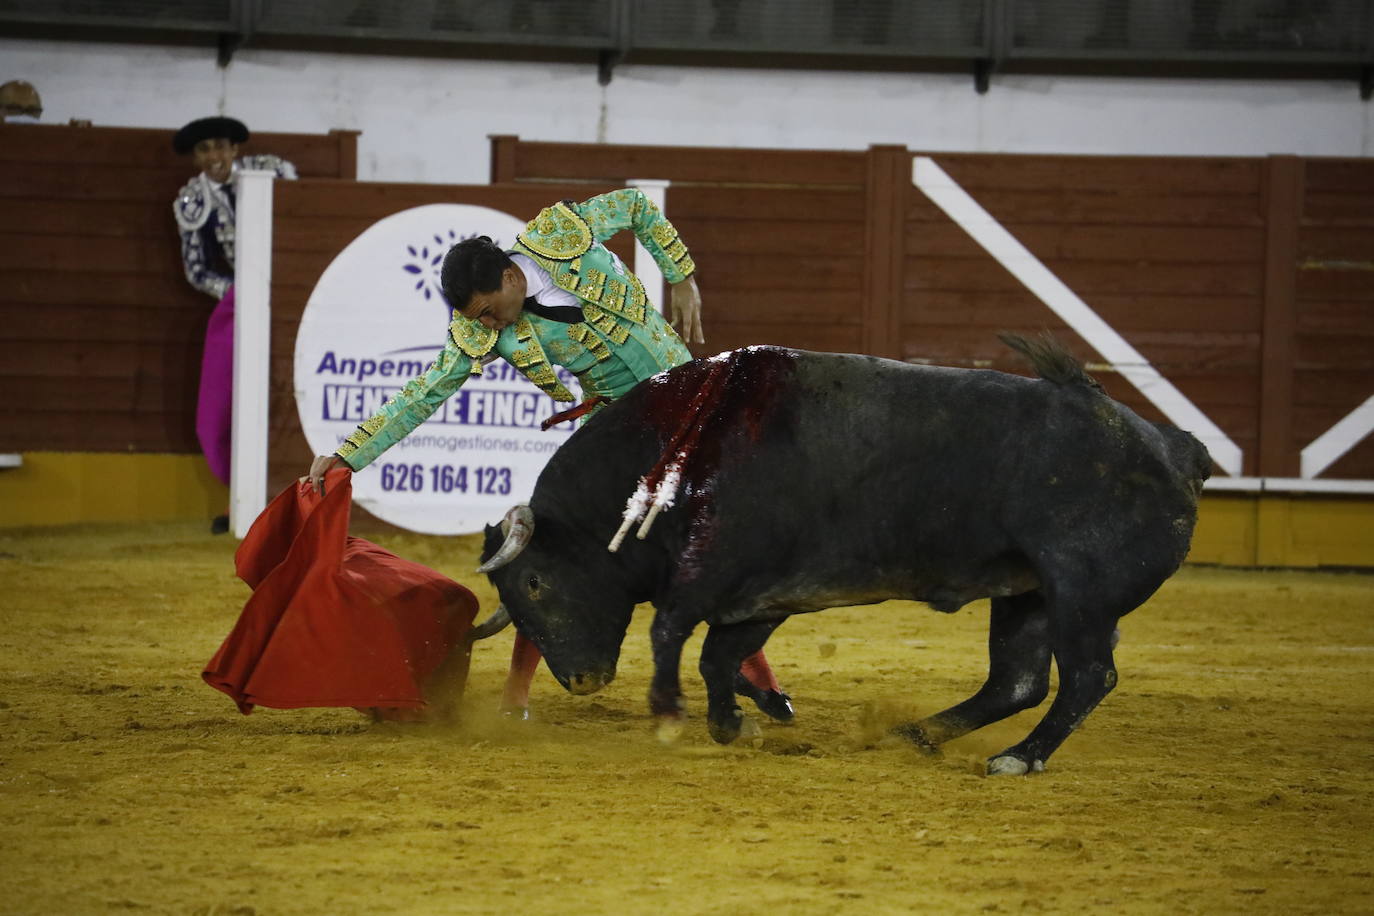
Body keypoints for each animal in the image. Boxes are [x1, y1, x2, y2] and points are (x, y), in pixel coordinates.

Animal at [478, 336, 1209, 774]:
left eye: (536, 583)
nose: (580, 681)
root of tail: (1172, 448)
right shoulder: (759, 595)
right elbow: (717, 656)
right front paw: (732, 725)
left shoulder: (712, 575)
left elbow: (670, 632)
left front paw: (669, 714)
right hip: (1025, 593)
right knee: (1018, 680)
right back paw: (915, 735)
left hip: (1079, 592)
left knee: (1087, 677)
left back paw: (1018, 759)